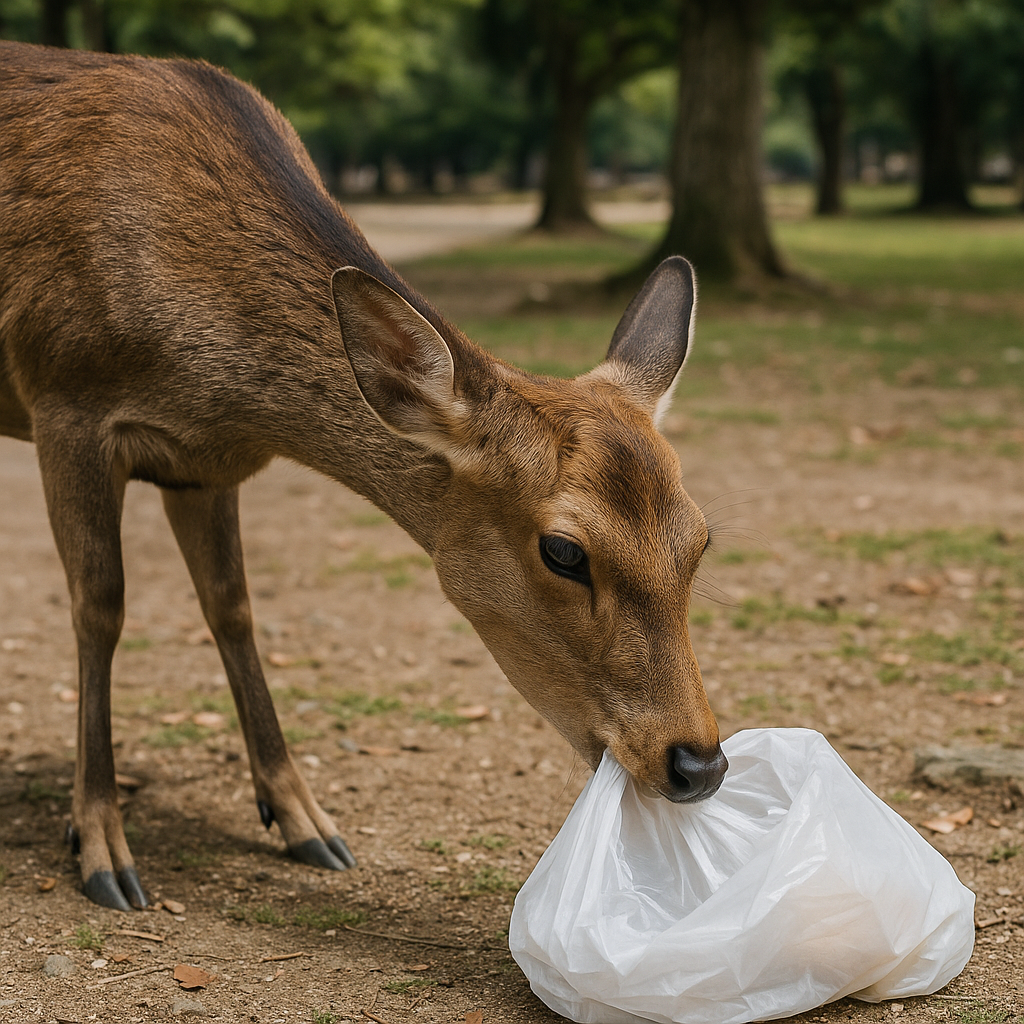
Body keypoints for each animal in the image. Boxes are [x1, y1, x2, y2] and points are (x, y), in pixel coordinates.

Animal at [0, 40, 727, 912]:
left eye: (702, 538)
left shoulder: (200, 463)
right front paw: (102, 847)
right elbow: (98, 608)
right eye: (564, 552)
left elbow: (232, 607)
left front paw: (305, 821)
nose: (698, 763)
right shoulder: (63, 399)